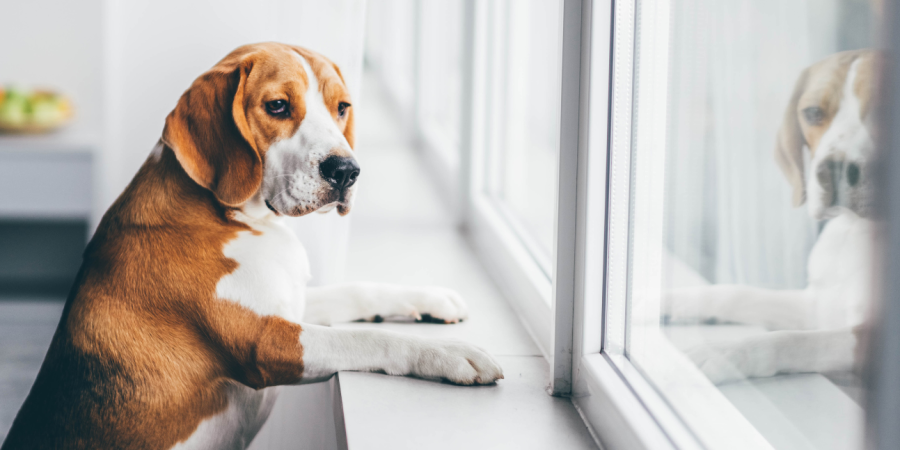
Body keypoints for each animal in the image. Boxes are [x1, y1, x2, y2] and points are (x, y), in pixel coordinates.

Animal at [0, 43, 502, 450]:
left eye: (342, 107)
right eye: (277, 106)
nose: (346, 170)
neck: (243, 219)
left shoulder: (289, 303)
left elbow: (359, 291)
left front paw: (430, 298)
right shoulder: (266, 342)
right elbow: (365, 338)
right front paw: (451, 354)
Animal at [668, 51, 880, 384]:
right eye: (813, 113)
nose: (832, 170)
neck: (857, 233)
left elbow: (794, 340)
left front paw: (723, 353)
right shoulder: (816, 306)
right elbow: (737, 294)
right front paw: (665, 300)